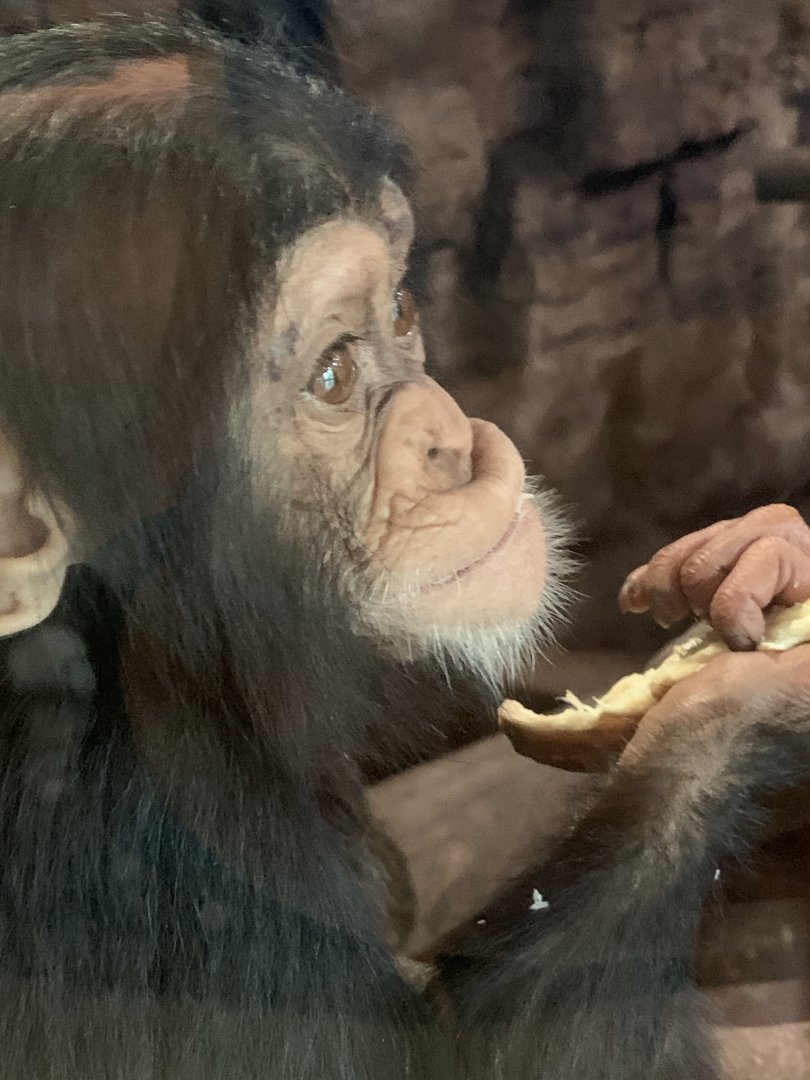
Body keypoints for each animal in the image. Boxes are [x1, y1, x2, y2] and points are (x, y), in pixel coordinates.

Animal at [1, 16, 810, 1080]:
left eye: (401, 313)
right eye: (334, 376)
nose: (449, 441)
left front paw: (765, 551)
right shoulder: (141, 862)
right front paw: (737, 714)